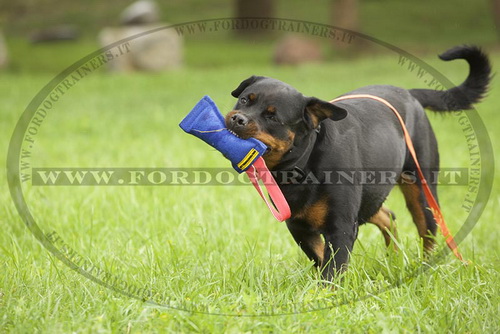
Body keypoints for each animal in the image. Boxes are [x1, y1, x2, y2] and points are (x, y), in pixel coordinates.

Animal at [227, 44, 492, 280]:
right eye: (245, 100)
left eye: (272, 117)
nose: (238, 119)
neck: (304, 164)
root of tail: (409, 93)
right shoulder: (299, 226)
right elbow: (322, 259)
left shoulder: (342, 225)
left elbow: (333, 268)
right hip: (369, 197)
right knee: (387, 216)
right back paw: (394, 258)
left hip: (421, 189)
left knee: (427, 232)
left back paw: (424, 268)